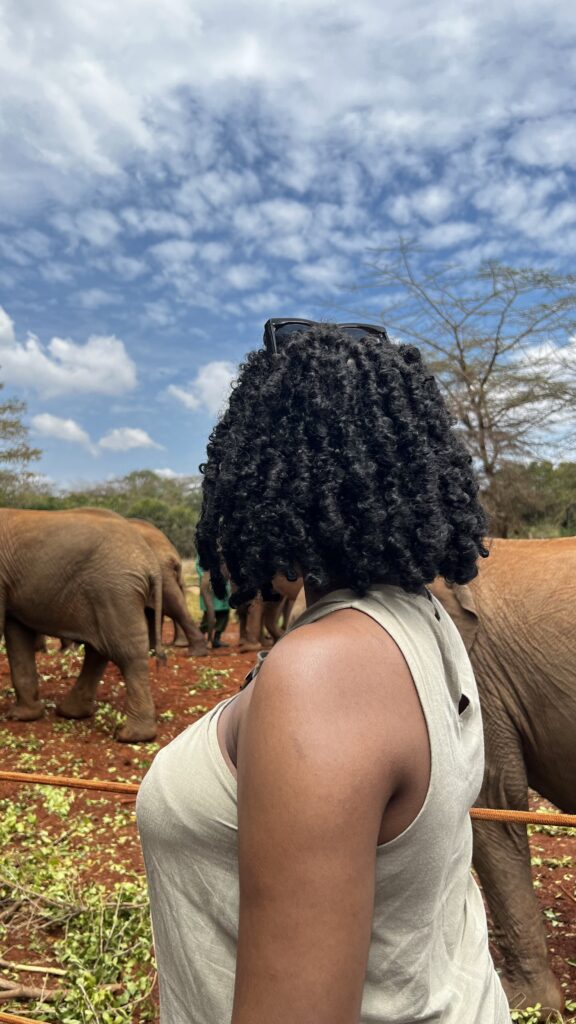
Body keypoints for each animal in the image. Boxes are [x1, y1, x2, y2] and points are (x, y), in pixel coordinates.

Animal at [0, 507, 163, 742]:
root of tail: (150, 561)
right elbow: (17, 634)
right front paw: (22, 717)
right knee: (100, 649)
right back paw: (71, 712)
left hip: (115, 590)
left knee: (126, 653)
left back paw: (132, 735)